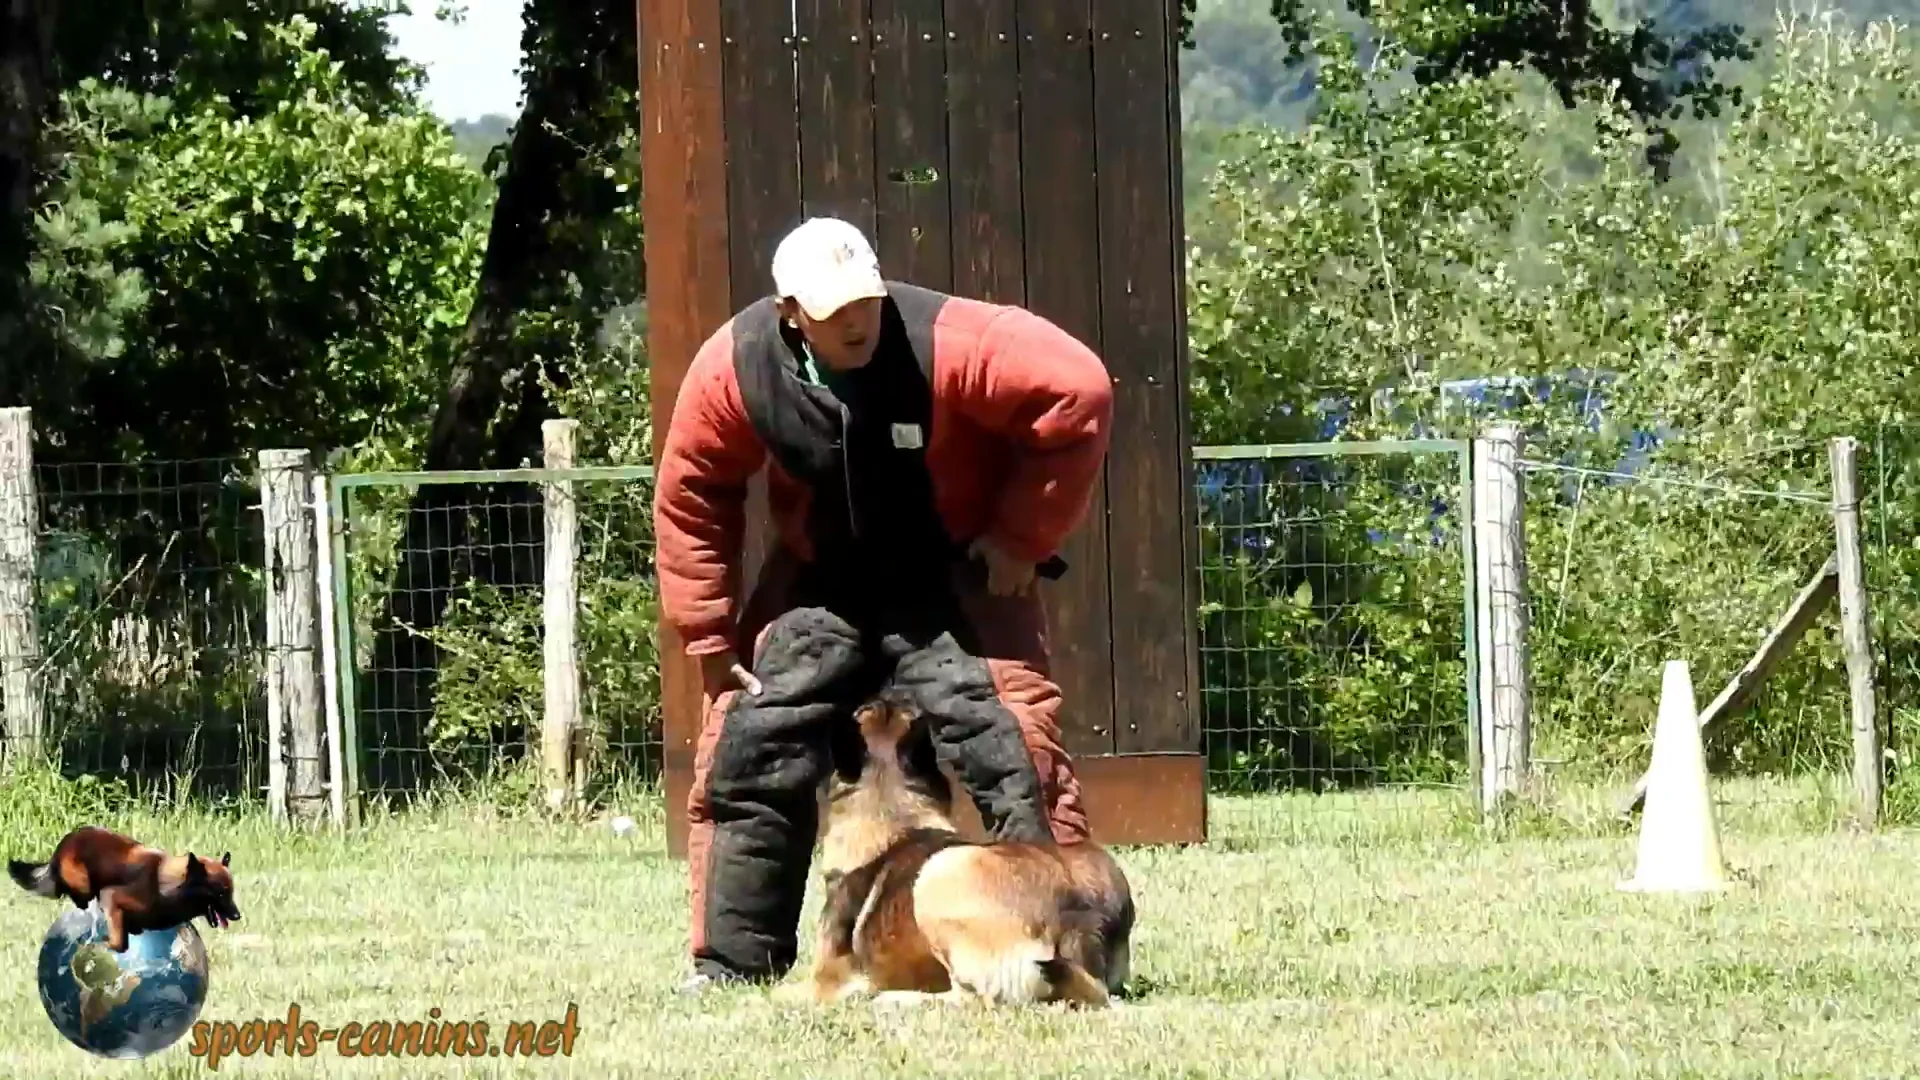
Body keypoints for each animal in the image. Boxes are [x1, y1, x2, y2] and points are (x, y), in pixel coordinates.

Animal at [9, 818, 241, 945]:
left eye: (231, 893)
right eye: (220, 893)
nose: (238, 916)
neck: (166, 884)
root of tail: (64, 843)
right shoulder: (111, 896)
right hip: (85, 886)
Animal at [775, 691, 1136, 1006]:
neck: (889, 807)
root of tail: (1080, 912)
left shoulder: (824, 982)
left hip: (936, 877)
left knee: (971, 998)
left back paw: (896, 999)